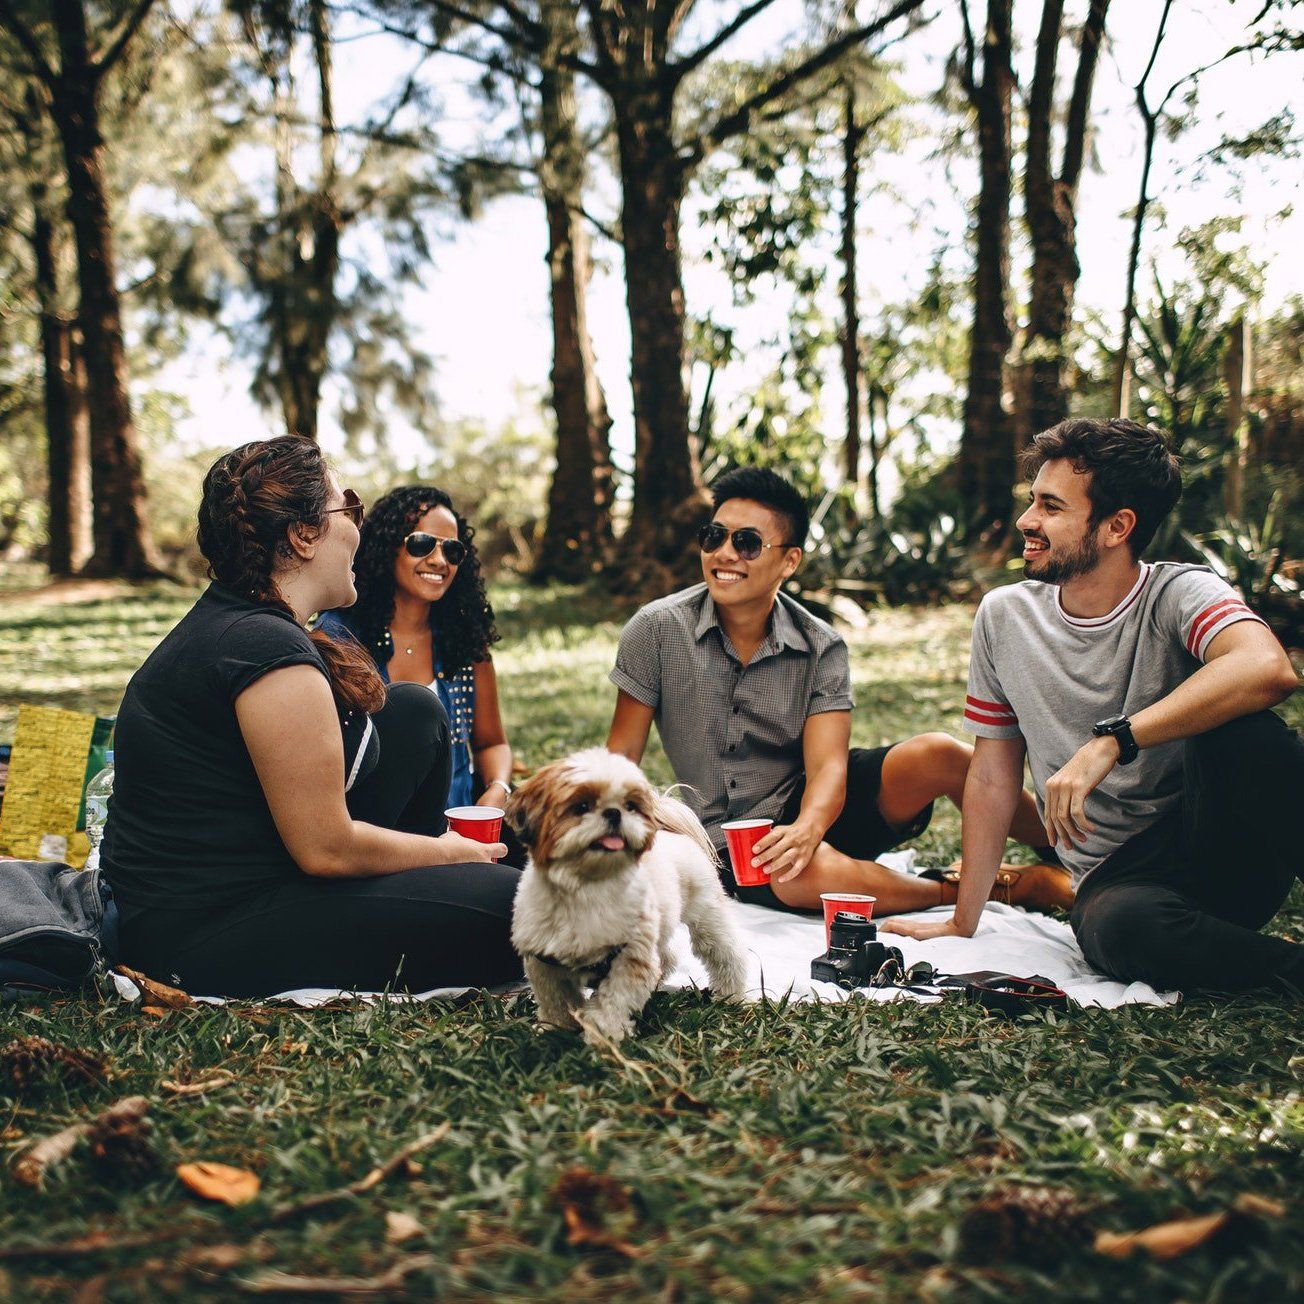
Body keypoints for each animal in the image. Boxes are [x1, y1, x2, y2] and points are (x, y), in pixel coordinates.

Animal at [503, 751, 751, 1043]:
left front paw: (602, 1034)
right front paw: (555, 1029)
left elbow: (612, 1001)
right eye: (582, 805)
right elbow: (555, 1000)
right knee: (666, 957)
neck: (587, 888)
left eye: (630, 805)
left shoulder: (630, 958)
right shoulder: (544, 961)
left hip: (706, 915)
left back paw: (731, 994)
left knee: (725, 953)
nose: (614, 812)